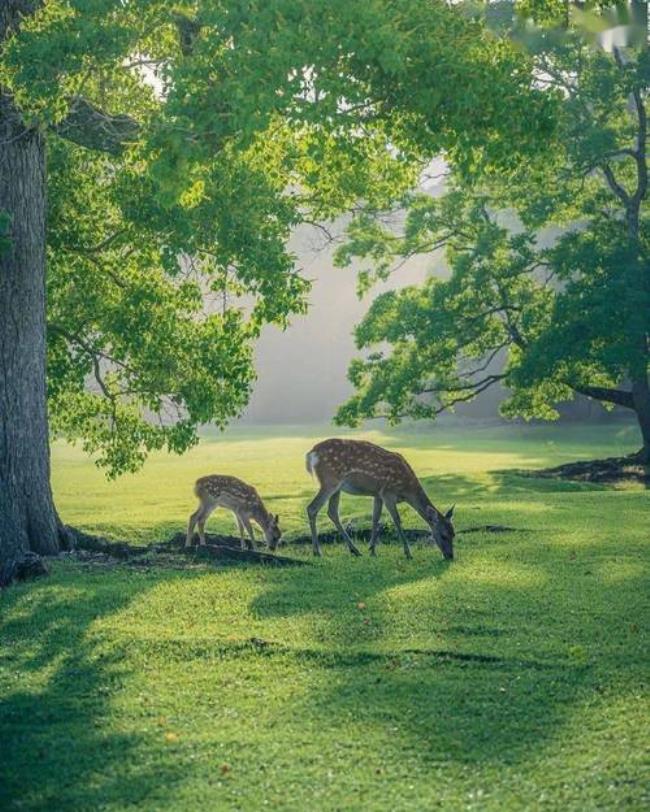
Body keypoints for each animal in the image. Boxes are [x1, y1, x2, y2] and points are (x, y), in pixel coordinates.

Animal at [302, 438, 450, 560]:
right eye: (444, 535)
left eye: (453, 534)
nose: (450, 556)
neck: (406, 489)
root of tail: (311, 453)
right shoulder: (388, 493)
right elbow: (397, 520)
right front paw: (408, 553)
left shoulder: (378, 494)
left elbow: (375, 518)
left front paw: (372, 550)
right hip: (330, 480)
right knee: (312, 508)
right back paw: (317, 551)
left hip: (336, 487)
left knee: (332, 512)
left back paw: (355, 550)